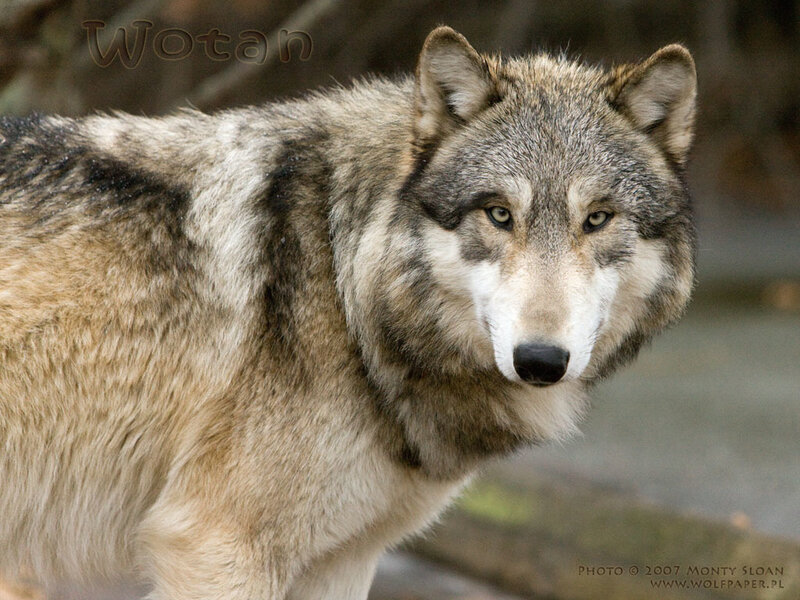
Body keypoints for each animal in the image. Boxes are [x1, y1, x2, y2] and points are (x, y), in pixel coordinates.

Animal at [0, 26, 696, 600]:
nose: (541, 360)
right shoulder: (218, 547)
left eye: (598, 218)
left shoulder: (341, 560)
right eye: (499, 213)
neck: (346, 284)